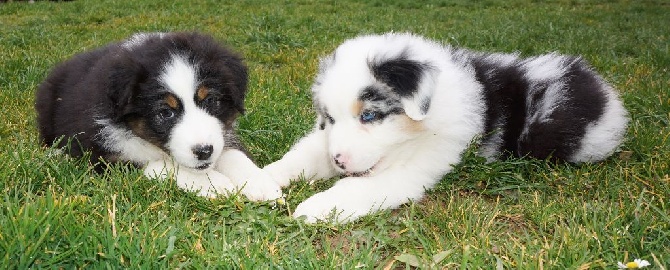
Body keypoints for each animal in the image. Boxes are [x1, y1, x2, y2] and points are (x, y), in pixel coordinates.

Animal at [35, 31, 282, 200]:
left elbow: (233, 154)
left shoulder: (222, 134)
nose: (204, 151)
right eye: (165, 113)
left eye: (211, 101)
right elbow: (159, 165)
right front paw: (214, 183)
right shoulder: (103, 156)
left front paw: (260, 182)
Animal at [266, 32, 632, 223]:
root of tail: (604, 92)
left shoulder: (420, 166)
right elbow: (303, 156)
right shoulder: (325, 141)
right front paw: (263, 178)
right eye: (329, 119)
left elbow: (359, 186)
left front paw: (318, 207)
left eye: (369, 116)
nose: (339, 161)